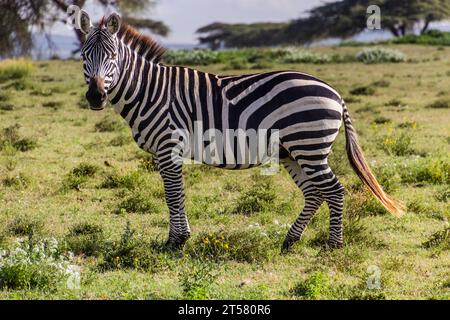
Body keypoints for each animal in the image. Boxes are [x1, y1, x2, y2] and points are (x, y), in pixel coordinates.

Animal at [77, 11, 404, 252]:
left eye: (112, 57)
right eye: (84, 57)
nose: (95, 96)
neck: (150, 91)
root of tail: (335, 93)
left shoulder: (168, 147)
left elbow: (173, 195)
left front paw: (175, 242)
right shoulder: (166, 151)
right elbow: (175, 194)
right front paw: (179, 238)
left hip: (308, 146)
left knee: (334, 190)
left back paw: (332, 246)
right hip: (292, 151)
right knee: (314, 193)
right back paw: (289, 241)